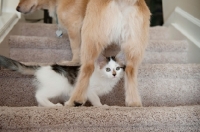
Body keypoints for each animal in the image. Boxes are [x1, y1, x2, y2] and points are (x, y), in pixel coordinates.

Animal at [16, 0, 150, 106]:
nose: (17, 9)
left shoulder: (74, 28)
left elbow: (75, 50)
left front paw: (71, 62)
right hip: (134, 46)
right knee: (130, 70)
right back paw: (134, 102)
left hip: (90, 38)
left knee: (87, 69)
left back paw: (74, 101)